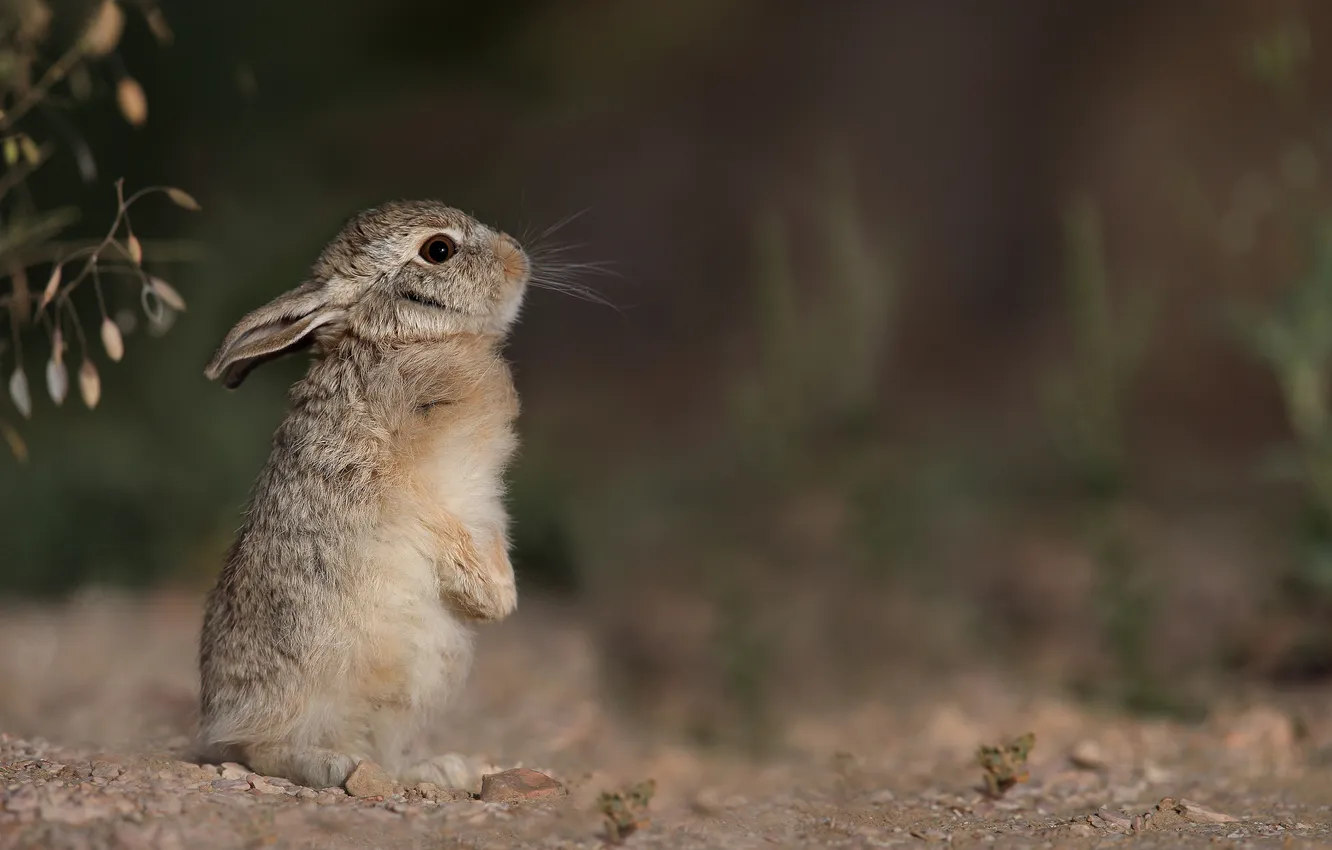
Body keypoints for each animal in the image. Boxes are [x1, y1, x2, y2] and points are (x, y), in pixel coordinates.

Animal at [196, 200, 531, 791]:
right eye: (438, 250)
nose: (518, 258)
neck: (405, 340)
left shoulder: (484, 503)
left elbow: (489, 535)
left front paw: (499, 599)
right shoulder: (392, 482)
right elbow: (435, 525)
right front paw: (491, 599)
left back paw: (440, 769)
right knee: (260, 750)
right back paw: (331, 764)